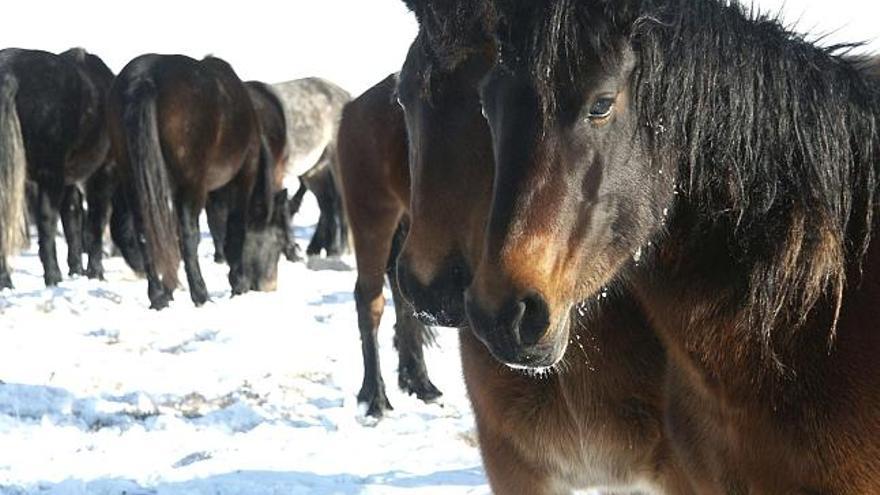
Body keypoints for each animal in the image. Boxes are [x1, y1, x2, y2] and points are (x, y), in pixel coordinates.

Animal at [0, 48, 117, 288]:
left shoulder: (69, 179)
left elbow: (73, 220)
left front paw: (77, 270)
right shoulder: (101, 173)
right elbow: (94, 222)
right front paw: (95, 272)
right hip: (50, 177)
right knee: (47, 224)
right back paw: (53, 277)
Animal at [106, 54, 286, 310]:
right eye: (279, 238)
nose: (268, 285)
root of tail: (145, 78)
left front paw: (170, 288)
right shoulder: (242, 179)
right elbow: (234, 230)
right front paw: (238, 283)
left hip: (135, 182)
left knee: (146, 233)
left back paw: (158, 296)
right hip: (192, 187)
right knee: (188, 237)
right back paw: (200, 294)